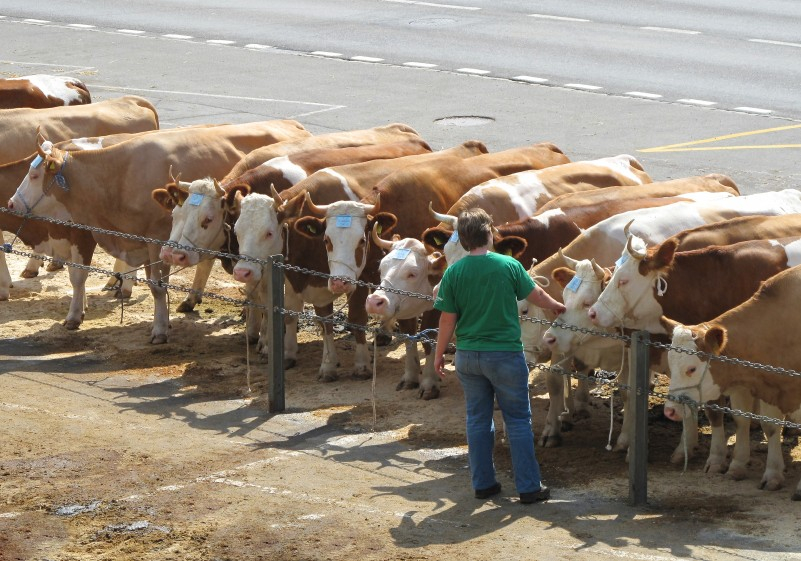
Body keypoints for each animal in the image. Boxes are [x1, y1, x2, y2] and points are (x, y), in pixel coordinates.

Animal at [8, 118, 310, 340]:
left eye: (34, 175)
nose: (11, 203)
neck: (120, 175)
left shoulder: (156, 241)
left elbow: (155, 286)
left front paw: (160, 329)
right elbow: (80, 275)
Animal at [664, 264, 801, 498]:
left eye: (691, 368)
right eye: (670, 364)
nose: (670, 410)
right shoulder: (767, 385)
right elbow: (764, 425)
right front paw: (766, 472)